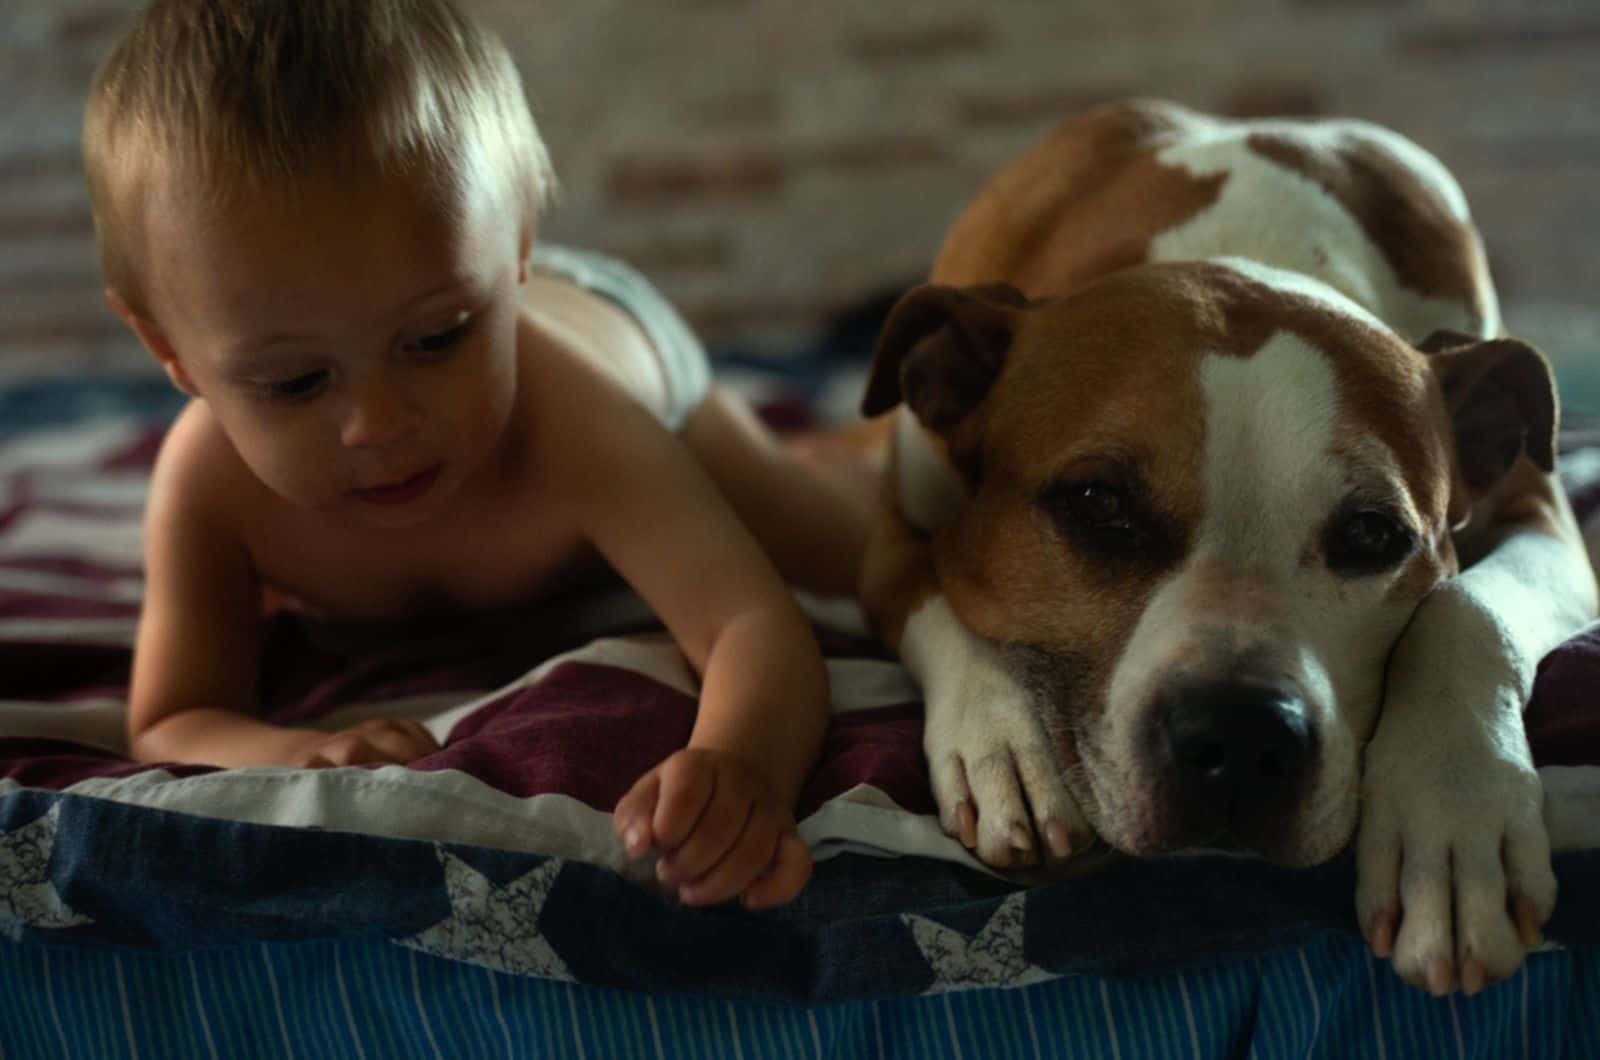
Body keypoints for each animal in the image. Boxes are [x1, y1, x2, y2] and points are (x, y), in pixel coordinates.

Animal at [864, 99, 1600, 999]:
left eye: (1372, 534)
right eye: (1097, 503)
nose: (1245, 738)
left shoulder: (1541, 513)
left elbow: (1466, 608)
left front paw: (1454, 811)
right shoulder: (879, 524)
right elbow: (930, 586)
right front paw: (1002, 743)